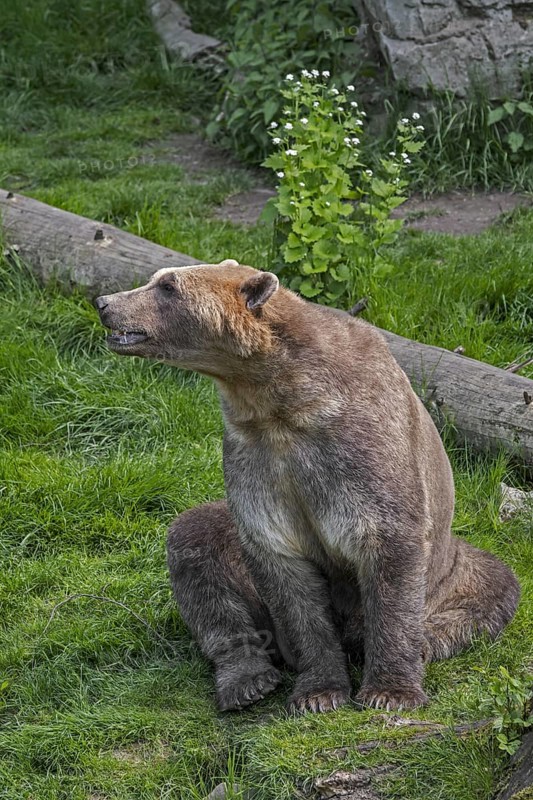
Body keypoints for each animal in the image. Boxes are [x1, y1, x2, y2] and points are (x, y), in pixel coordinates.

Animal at [95, 259, 520, 713]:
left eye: (168, 286)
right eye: (157, 278)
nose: (104, 303)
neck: (281, 400)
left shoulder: (358, 447)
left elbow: (389, 542)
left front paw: (390, 693)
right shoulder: (257, 457)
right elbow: (284, 569)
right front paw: (318, 692)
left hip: (450, 572)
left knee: (491, 589)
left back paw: (421, 641)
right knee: (195, 544)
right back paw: (247, 680)